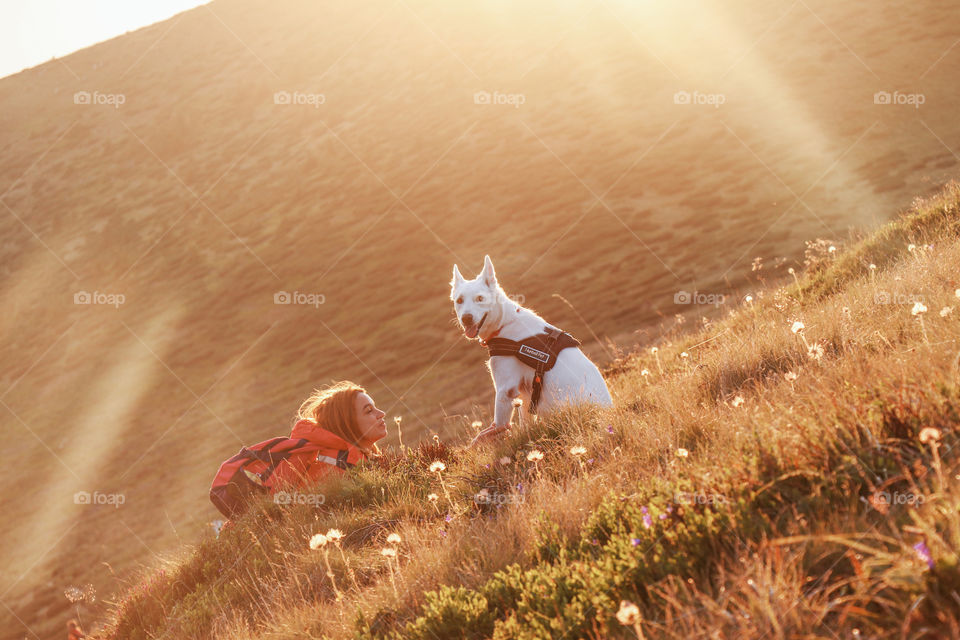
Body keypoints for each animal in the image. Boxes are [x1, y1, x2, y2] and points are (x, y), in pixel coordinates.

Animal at [452, 258, 616, 442]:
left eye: (480, 298)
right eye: (459, 300)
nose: (466, 318)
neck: (505, 322)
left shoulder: (505, 389)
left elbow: (500, 425)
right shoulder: (524, 392)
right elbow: (525, 423)